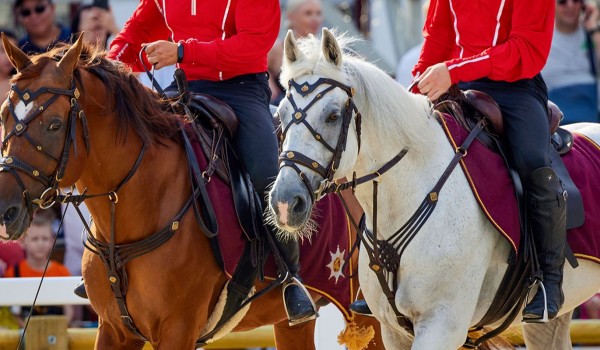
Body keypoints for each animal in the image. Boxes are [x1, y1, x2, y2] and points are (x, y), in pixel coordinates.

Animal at [0, 34, 384, 348]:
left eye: (54, 124)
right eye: (4, 114)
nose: (6, 210)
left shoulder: (177, 330)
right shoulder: (114, 330)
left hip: (371, 315)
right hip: (294, 324)